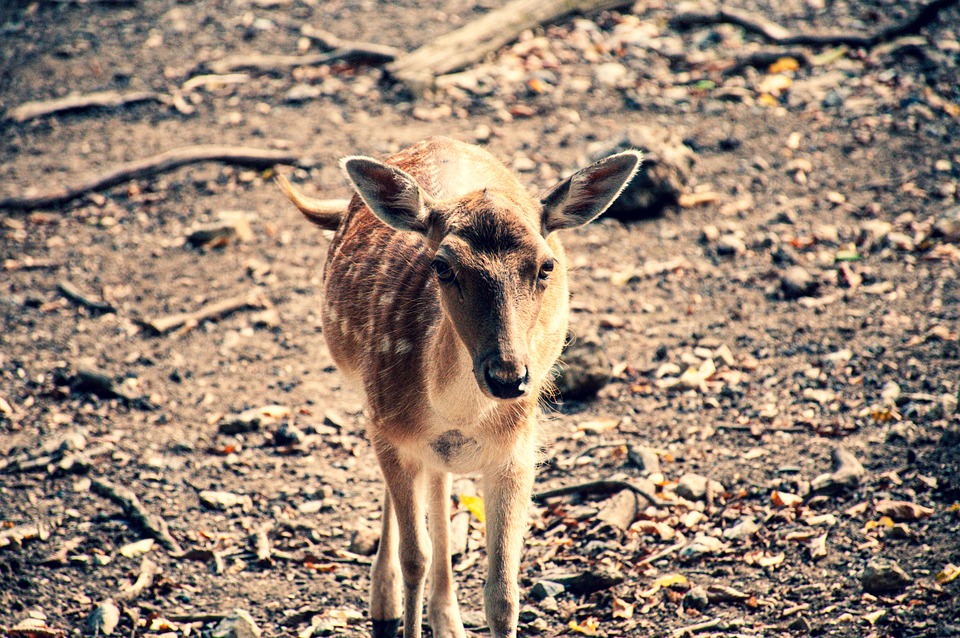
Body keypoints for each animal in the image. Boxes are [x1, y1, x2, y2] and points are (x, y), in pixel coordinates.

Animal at [276, 136, 640, 638]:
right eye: (442, 266)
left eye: (546, 265)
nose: (508, 376)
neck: (458, 413)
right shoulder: (389, 431)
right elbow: (415, 557)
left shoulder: (516, 453)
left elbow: (503, 593)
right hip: (373, 409)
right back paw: (384, 604)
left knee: (440, 479)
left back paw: (447, 619)